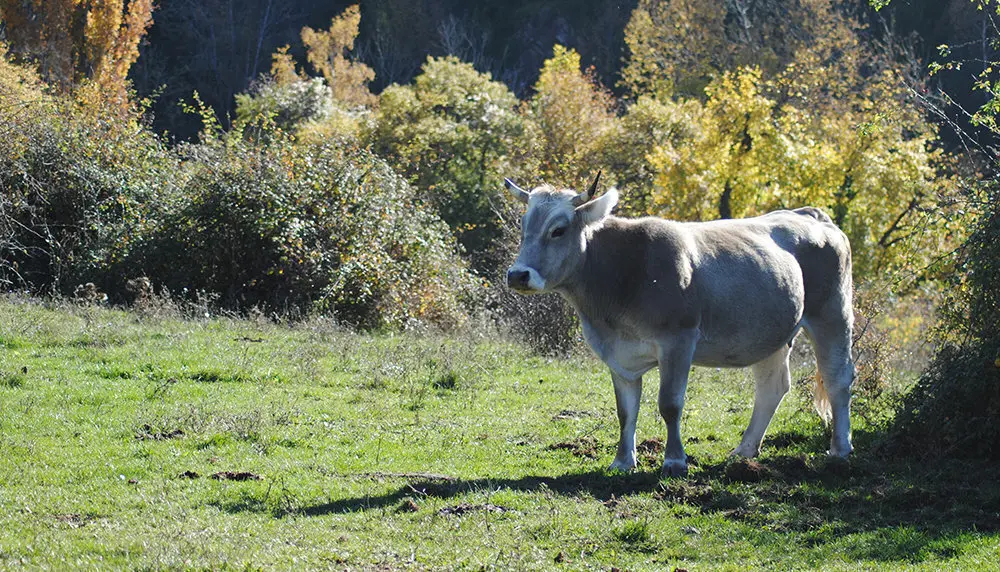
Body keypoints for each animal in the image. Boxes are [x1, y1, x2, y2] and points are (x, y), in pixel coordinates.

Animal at [504, 173, 855, 476]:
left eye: (558, 230)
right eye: (524, 226)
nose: (518, 275)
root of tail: (808, 214)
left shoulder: (678, 340)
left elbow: (670, 404)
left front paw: (674, 461)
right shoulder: (618, 353)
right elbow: (625, 410)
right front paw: (622, 461)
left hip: (832, 314)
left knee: (837, 378)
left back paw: (840, 449)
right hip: (771, 332)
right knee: (773, 386)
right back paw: (744, 451)